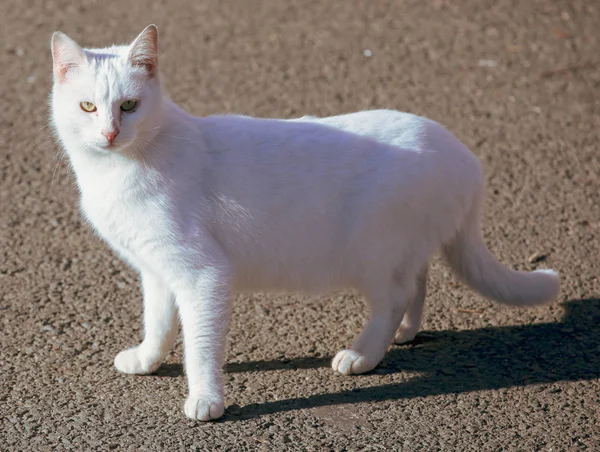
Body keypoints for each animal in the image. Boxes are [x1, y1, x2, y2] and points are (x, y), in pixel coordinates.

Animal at [49, 24, 560, 420]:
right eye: (89, 107)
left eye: (129, 106)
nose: (110, 133)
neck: (120, 169)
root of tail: (465, 158)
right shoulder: (157, 271)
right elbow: (157, 323)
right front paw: (148, 359)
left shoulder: (201, 274)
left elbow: (200, 345)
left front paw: (206, 400)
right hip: (400, 249)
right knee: (418, 281)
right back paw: (406, 333)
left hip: (374, 252)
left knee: (394, 296)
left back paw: (363, 354)